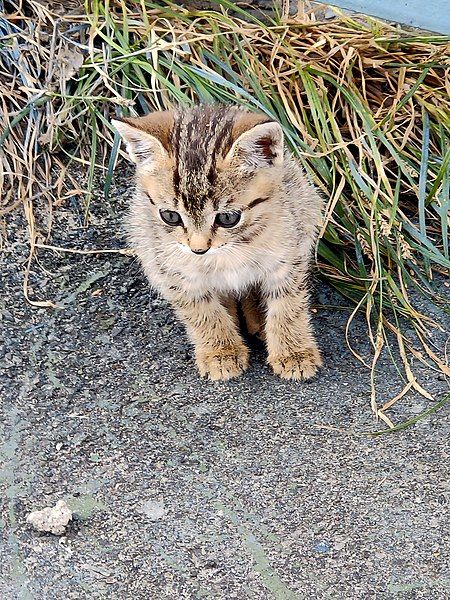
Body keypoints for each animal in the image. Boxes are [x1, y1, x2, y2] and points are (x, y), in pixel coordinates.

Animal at [112, 104, 324, 380]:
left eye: (228, 218)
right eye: (170, 216)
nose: (198, 249)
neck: (232, 251)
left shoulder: (288, 257)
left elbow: (288, 305)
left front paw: (294, 352)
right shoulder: (174, 272)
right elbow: (202, 312)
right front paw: (221, 351)